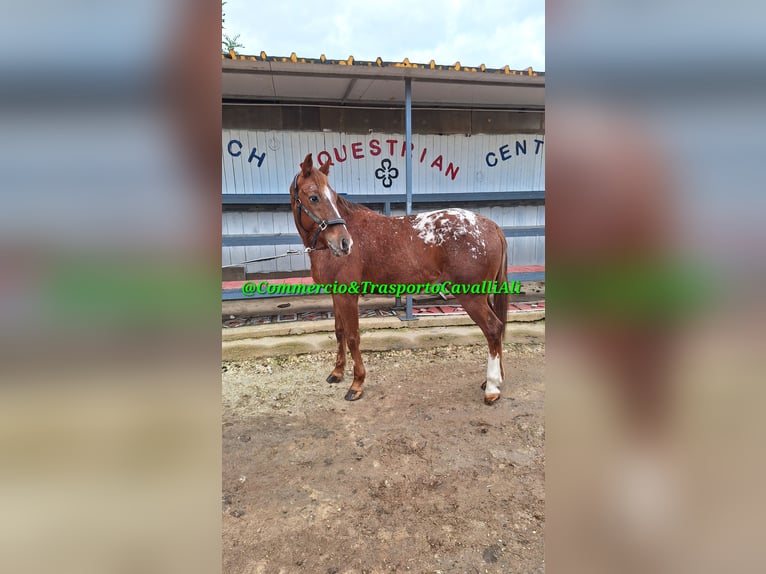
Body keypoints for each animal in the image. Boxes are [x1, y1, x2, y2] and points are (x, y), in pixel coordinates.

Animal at [288, 153, 510, 404]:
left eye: (333, 198)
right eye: (314, 197)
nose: (345, 243)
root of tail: (491, 225)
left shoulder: (348, 297)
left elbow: (353, 337)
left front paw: (357, 384)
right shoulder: (337, 295)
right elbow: (339, 331)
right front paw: (337, 373)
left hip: (472, 297)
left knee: (493, 329)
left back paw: (492, 388)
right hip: (484, 295)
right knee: (497, 331)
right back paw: (495, 380)